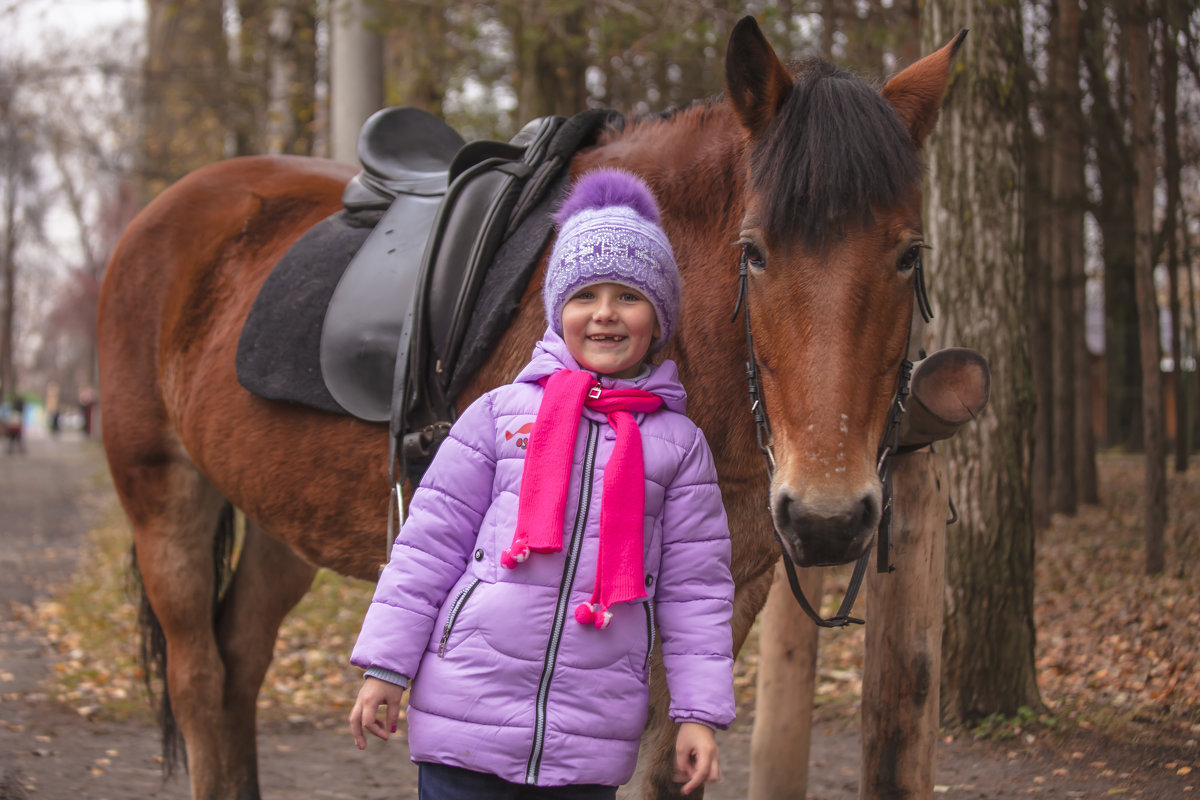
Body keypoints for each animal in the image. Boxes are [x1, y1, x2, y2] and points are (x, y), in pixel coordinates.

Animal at [96, 18, 955, 800]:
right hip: (164, 497)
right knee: (200, 678)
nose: (827, 518)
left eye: (908, 255)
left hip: (284, 514)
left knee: (239, 661)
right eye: (755, 251)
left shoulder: (724, 592)